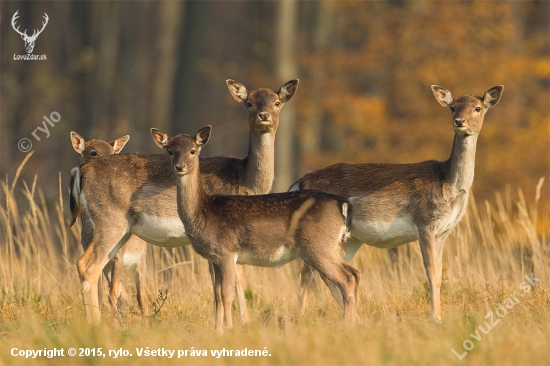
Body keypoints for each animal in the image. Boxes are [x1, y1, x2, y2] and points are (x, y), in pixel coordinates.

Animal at [69, 132, 151, 318]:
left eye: (114, 153)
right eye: (93, 153)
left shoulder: (119, 255)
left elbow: (114, 294)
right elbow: (104, 294)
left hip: (140, 259)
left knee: (142, 297)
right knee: (125, 295)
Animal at [151, 126, 362, 334]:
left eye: (193, 151)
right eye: (170, 151)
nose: (180, 167)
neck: (203, 213)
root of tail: (343, 204)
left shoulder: (226, 250)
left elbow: (226, 293)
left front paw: (227, 329)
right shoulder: (214, 257)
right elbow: (217, 294)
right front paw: (217, 330)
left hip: (317, 245)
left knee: (346, 279)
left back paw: (346, 326)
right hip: (331, 246)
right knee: (354, 273)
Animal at [292, 85, 506, 320]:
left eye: (477, 108)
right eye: (452, 107)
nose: (460, 121)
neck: (448, 185)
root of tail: (300, 182)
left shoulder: (444, 231)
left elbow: (439, 272)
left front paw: (438, 315)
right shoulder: (425, 222)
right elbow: (431, 272)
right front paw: (435, 318)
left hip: (350, 239)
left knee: (328, 274)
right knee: (307, 272)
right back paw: (301, 315)